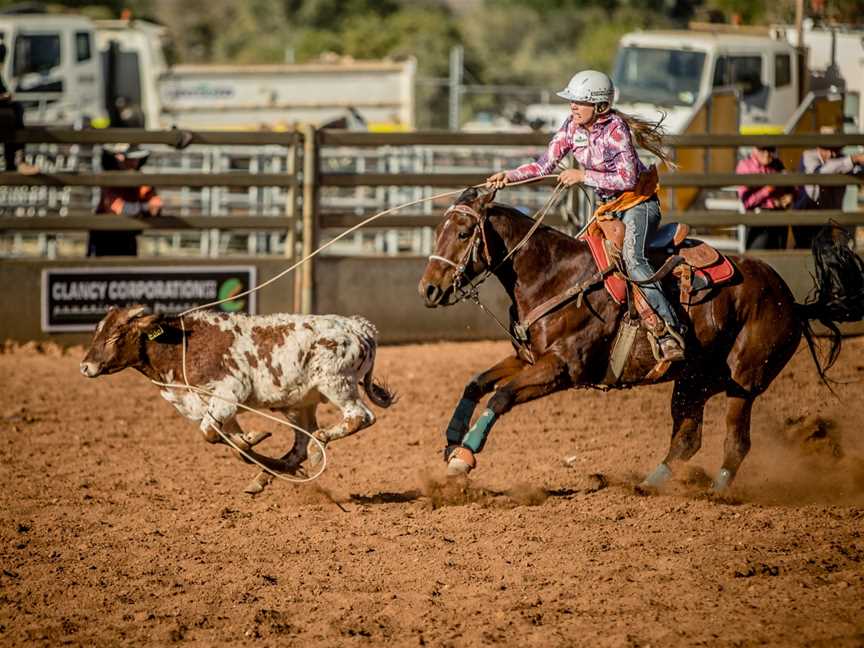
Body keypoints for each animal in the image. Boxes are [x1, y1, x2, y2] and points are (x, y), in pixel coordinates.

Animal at [81, 306, 394, 494]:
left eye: (116, 335)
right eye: (98, 331)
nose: (85, 366)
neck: (181, 345)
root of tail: (361, 327)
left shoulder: (227, 396)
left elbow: (210, 433)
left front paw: (251, 439)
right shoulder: (218, 409)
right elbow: (229, 442)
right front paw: (249, 442)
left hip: (338, 384)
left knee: (359, 417)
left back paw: (319, 446)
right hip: (300, 403)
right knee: (300, 443)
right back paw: (268, 474)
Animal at [418, 187, 864, 492]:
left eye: (463, 233)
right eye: (438, 230)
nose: (429, 289)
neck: (554, 274)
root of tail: (790, 300)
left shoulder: (562, 368)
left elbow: (501, 396)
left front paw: (464, 456)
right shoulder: (529, 359)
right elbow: (475, 383)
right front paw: (452, 440)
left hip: (745, 380)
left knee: (736, 442)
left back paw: (716, 493)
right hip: (694, 381)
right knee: (687, 438)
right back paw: (650, 485)